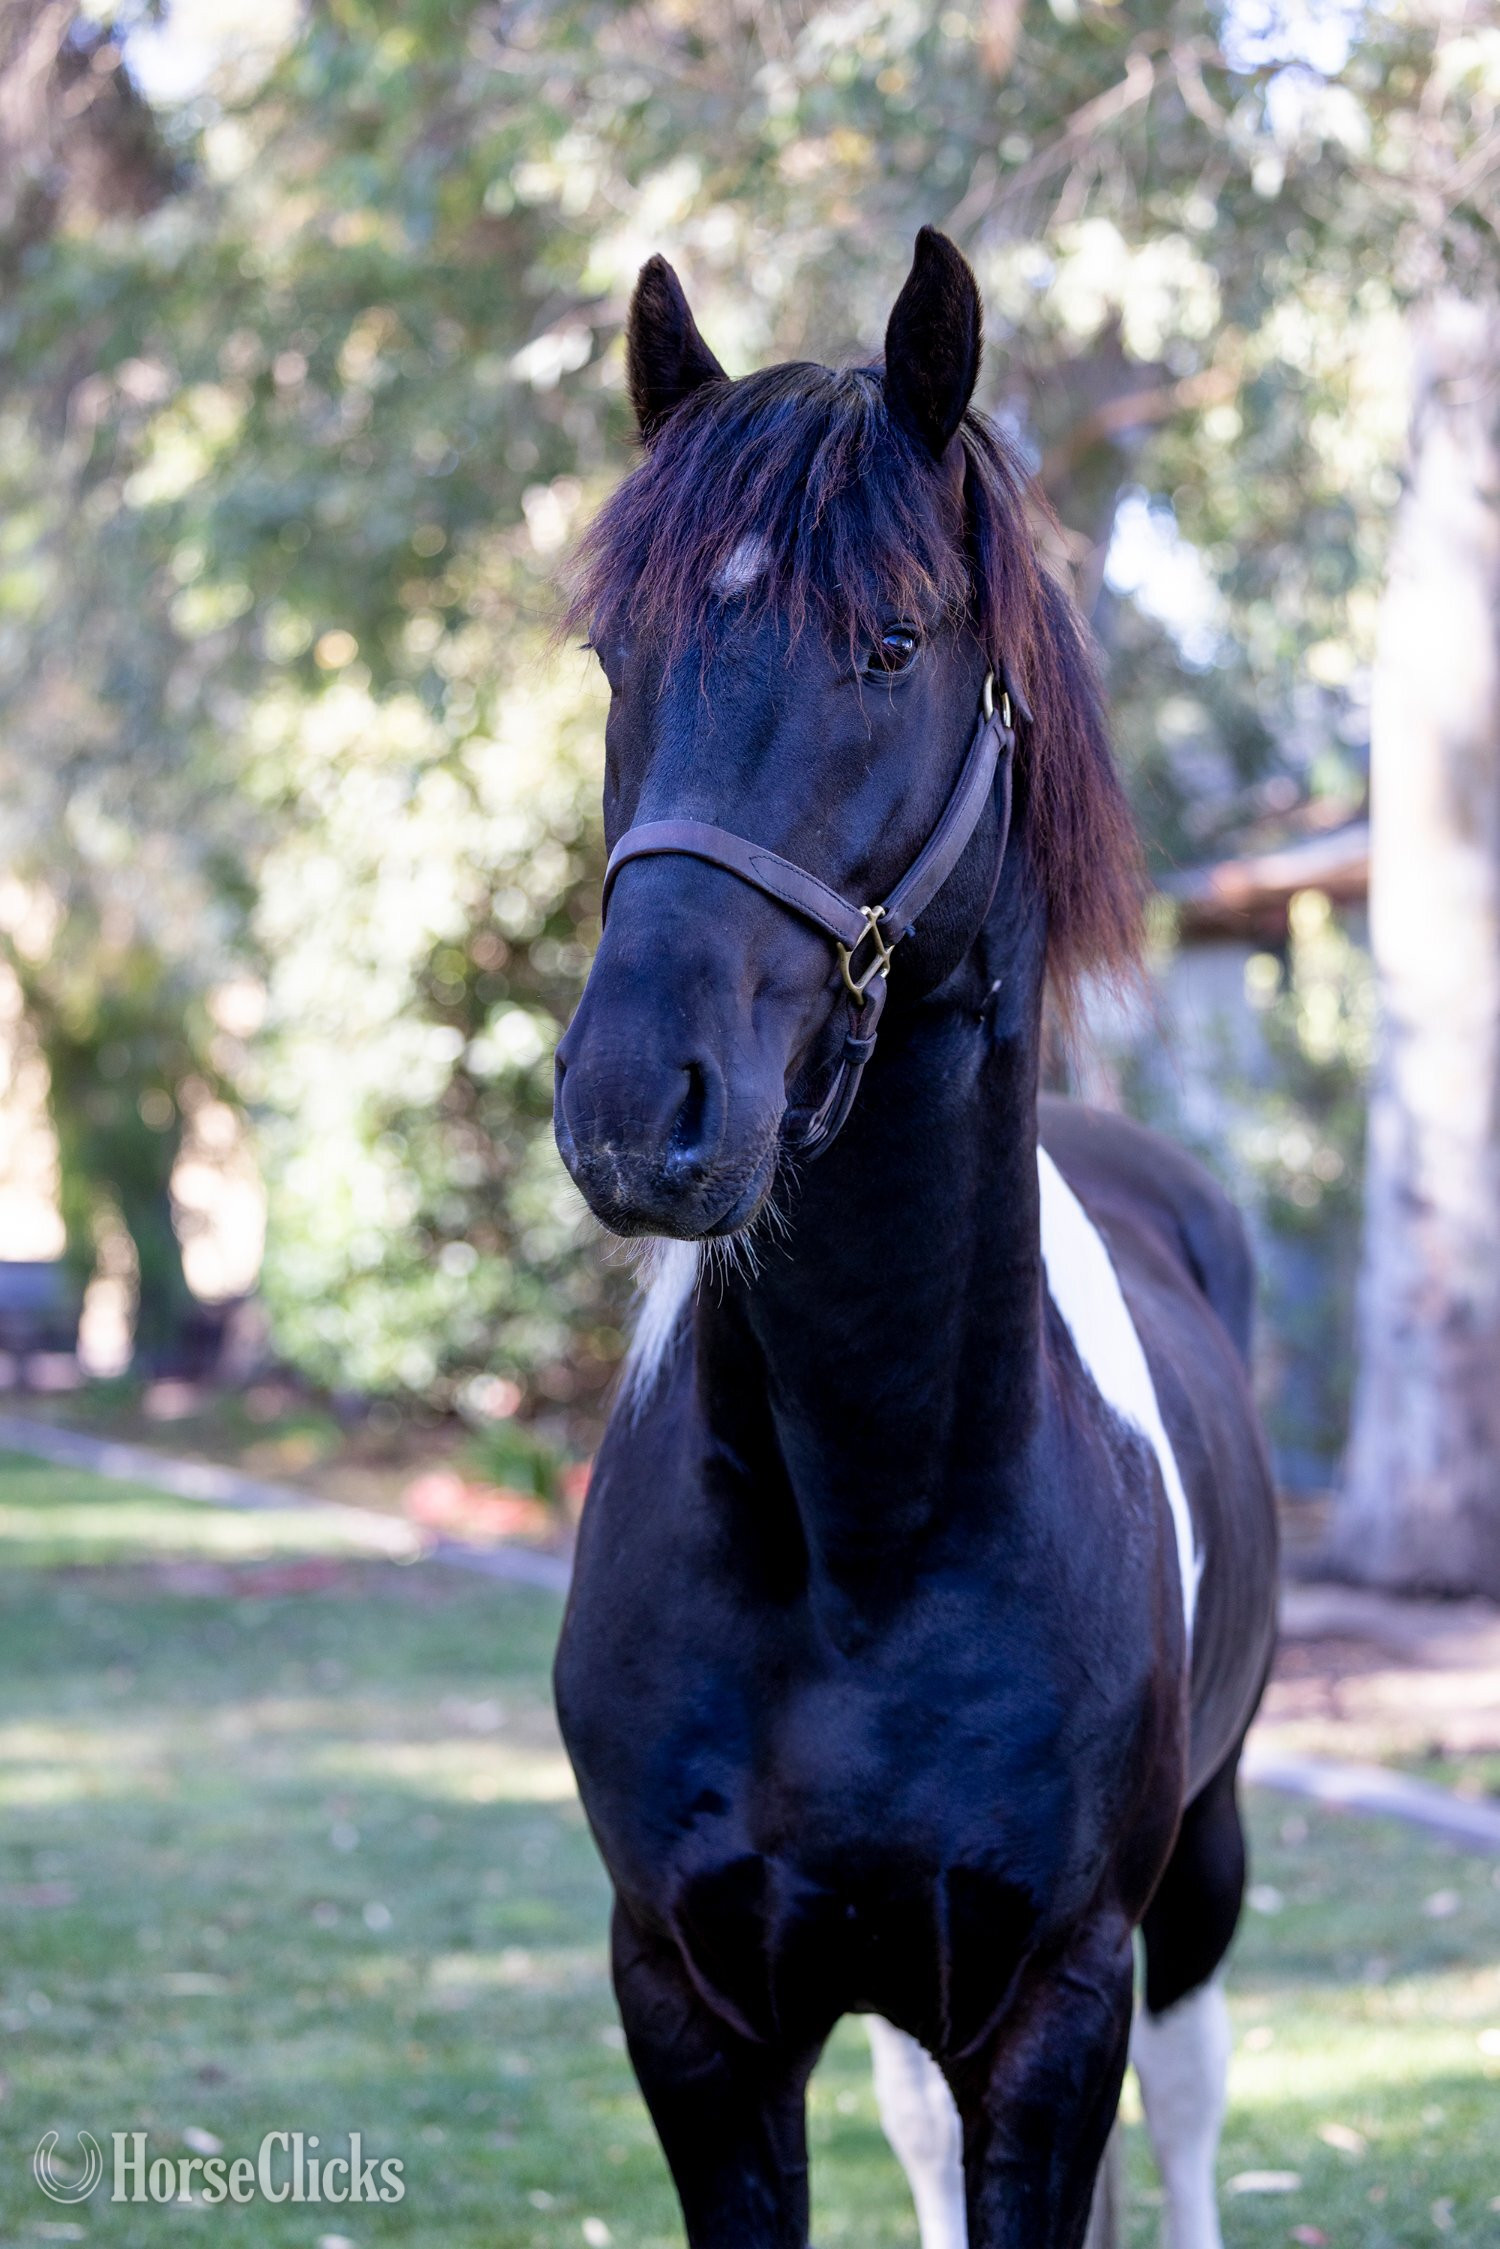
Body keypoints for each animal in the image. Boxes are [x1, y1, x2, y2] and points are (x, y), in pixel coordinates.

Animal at [550, 227, 1278, 2249]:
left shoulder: (1052, 2001)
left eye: (888, 644)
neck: (870, 1531)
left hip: (1200, 1876)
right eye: (617, 655)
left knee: (1192, 2108)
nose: (637, 1102)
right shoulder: (695, 2004)